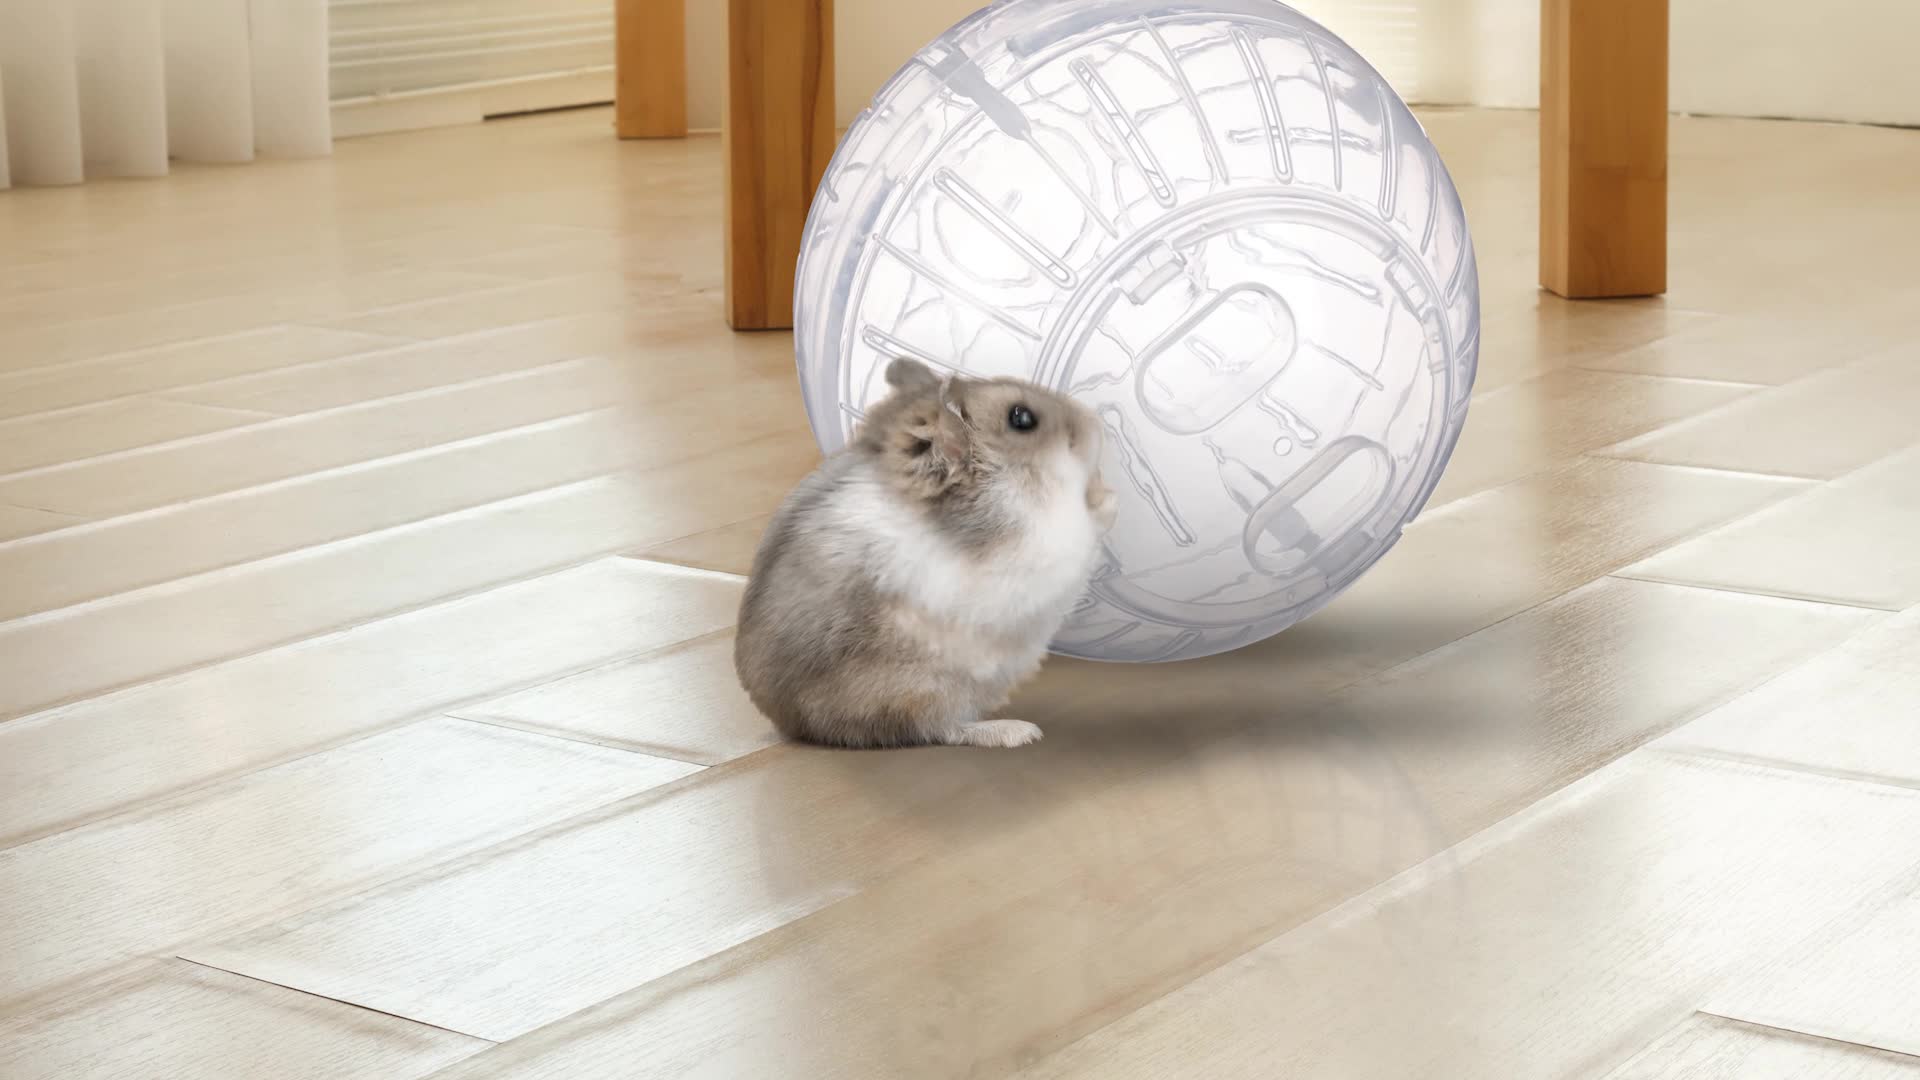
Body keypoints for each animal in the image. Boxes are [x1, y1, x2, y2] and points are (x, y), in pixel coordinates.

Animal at [735, 357, 1117, 749]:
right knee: (934, 728)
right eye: (1021, 418)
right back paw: (1018, 731)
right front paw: (1108, 496)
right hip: (921, 688)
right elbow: (1084, 525)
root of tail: (793, 724)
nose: (1095, 422)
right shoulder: (1043, 548)